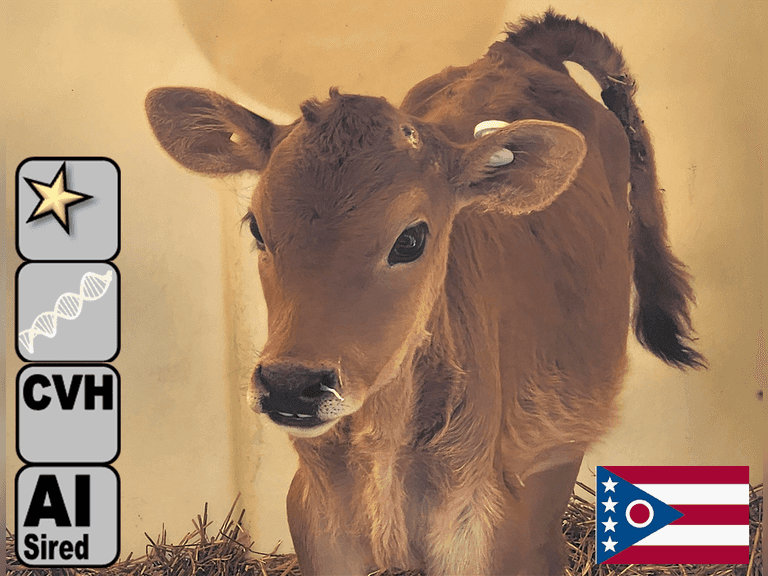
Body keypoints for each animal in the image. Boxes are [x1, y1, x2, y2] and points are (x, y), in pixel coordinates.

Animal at [145, 11, 705, 576]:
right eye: (257, 227)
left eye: (411, 239)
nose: (290, 384)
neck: (384, 453)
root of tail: (515, 52)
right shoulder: (321, 533)